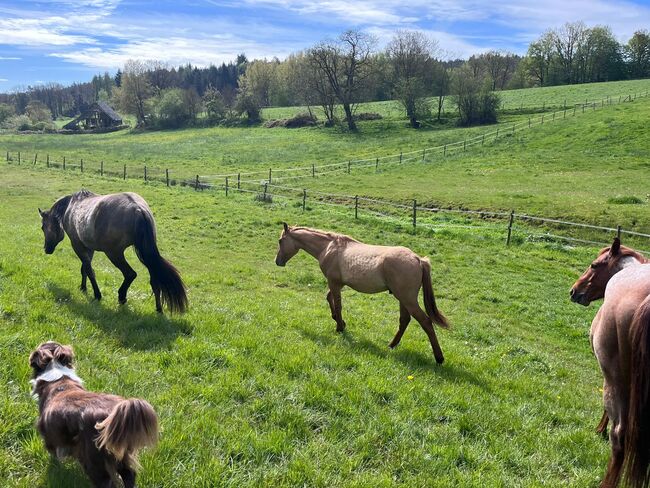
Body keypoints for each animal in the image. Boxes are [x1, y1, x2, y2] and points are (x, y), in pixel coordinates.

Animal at [29, 342, 159, 486]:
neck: (59, 380)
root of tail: (111, 415)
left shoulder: (50, 434)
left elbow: (54, 453)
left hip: (94, 461)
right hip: (120, 453)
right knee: (129, 475)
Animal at [39, 189, 187, 314]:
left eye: (43, 227)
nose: (46, 249)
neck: (71, 207)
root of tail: (139, 209)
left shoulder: (78, 245)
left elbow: (89, 270)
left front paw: (96, 295)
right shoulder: (88, 247)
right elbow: (84, 269)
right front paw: (83, 288)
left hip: (114, 254)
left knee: (130, 274)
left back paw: (122, 297)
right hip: (145, 254)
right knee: (155, 281)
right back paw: (158, 309)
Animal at [272, 224, 446, 362]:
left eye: (280, 241)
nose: (277, 262)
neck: (328, 247)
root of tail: (418, 260)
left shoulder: (334, 282)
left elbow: (338, 304)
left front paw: (339, 327)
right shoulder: (338, 284)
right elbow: (329, 298)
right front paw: (339, 321)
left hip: (407, 299)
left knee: (425, 322)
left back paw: (439, 358)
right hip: (403, 299)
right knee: (404, 320)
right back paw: (391, 345)